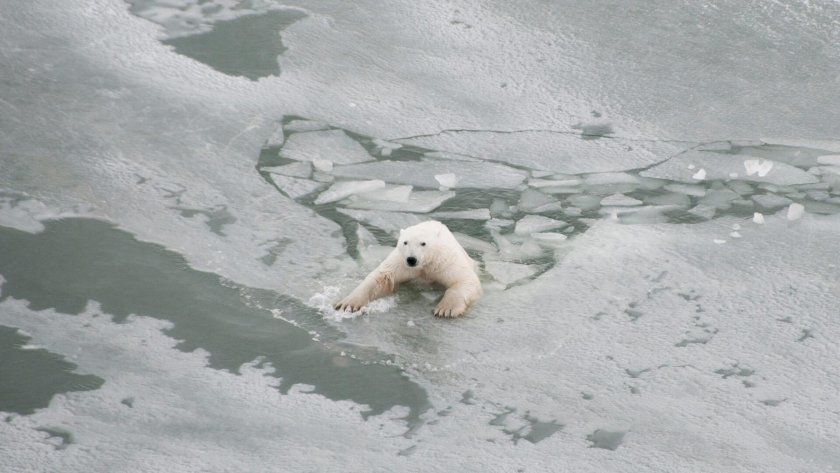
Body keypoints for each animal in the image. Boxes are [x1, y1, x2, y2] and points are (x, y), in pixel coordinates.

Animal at [334, 220, 482, 318]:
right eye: (405, 242)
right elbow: (382, 278)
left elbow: (464, 280)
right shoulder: (400, 261)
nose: (411, 259)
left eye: (423, 243)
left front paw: (446, 309)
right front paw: (348, 304)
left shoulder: (446, 260)